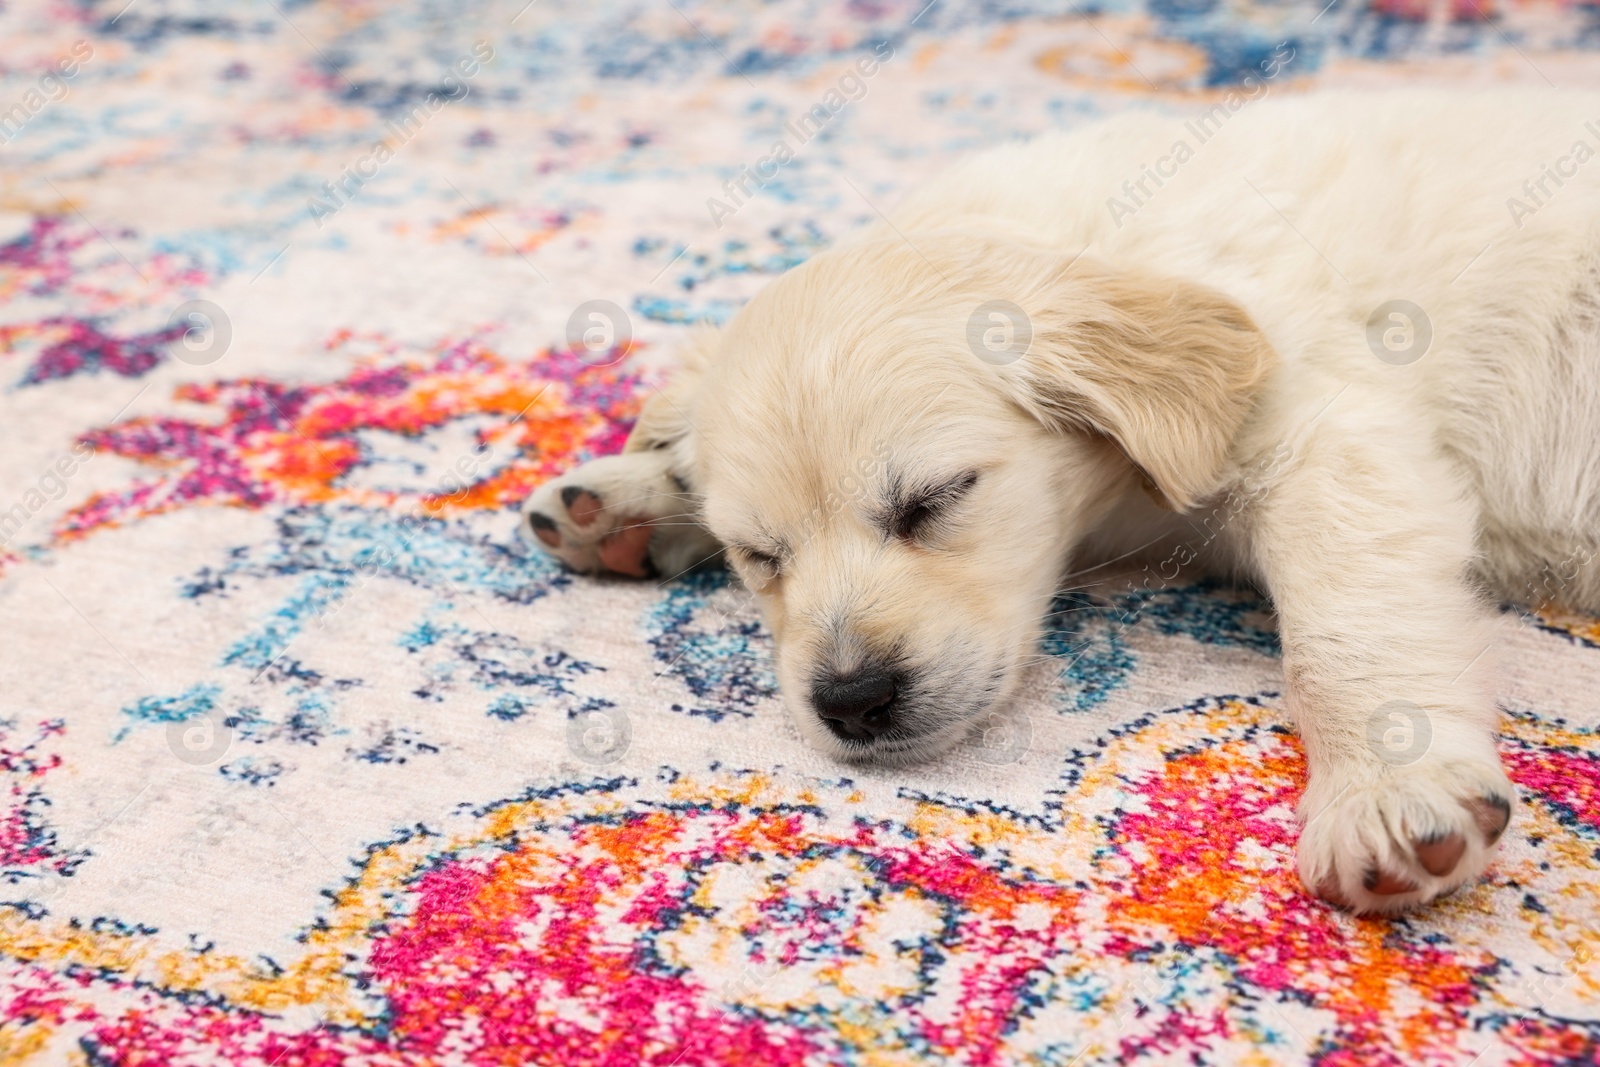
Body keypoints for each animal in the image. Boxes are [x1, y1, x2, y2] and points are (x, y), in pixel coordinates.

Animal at [524, 87, 1600, 915]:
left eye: (935, 499)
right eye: (761, 557)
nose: (852, 701)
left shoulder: (1327, 432)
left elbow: (1346, 624)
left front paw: (1390, 789)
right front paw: (638, 492)